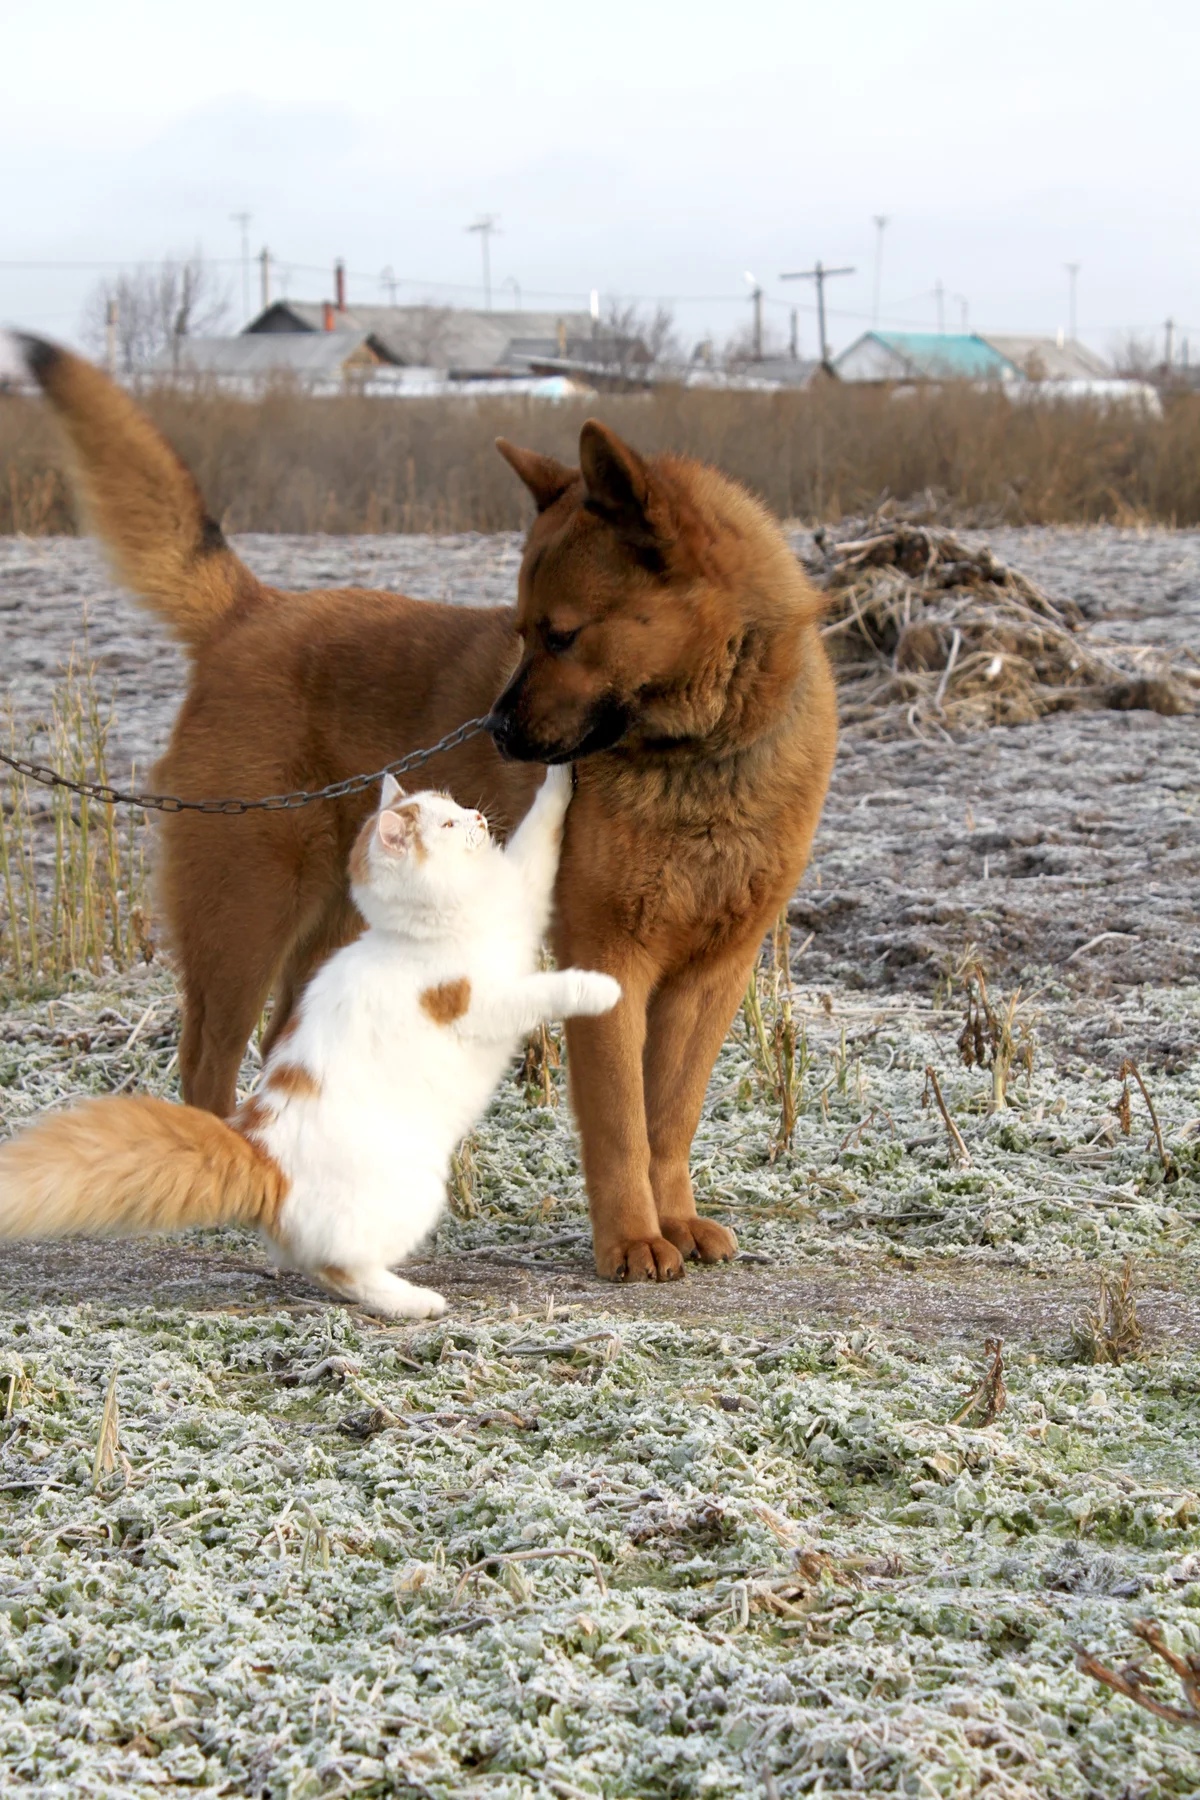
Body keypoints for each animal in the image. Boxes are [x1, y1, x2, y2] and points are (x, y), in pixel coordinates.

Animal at [0, 766, 618, 1317]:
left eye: (455, 806)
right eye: (446, 824)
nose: (478, 817)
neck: (419, 930)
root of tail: (259, 1152)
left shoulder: (522, 897)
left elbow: (542, 824)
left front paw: (560, 770)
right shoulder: (484, 1002)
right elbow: (549, 990)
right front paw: (601, 987)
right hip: (411, 1192)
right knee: (340, 1269)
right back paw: (412, 1302)